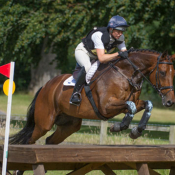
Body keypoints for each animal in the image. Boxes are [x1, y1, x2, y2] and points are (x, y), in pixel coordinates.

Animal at [9, 48, 175, 146]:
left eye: (173, 74)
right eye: (162, 73)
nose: (170, 101)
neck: (126, 74)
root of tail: (45, 87)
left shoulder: (128, 103)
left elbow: (147, 104)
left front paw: (136, 131)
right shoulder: (106, 107)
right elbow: (131, 107)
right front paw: (118, 127)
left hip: (70, 125)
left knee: (50, 140)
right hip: (44, 123)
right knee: (29, 141)